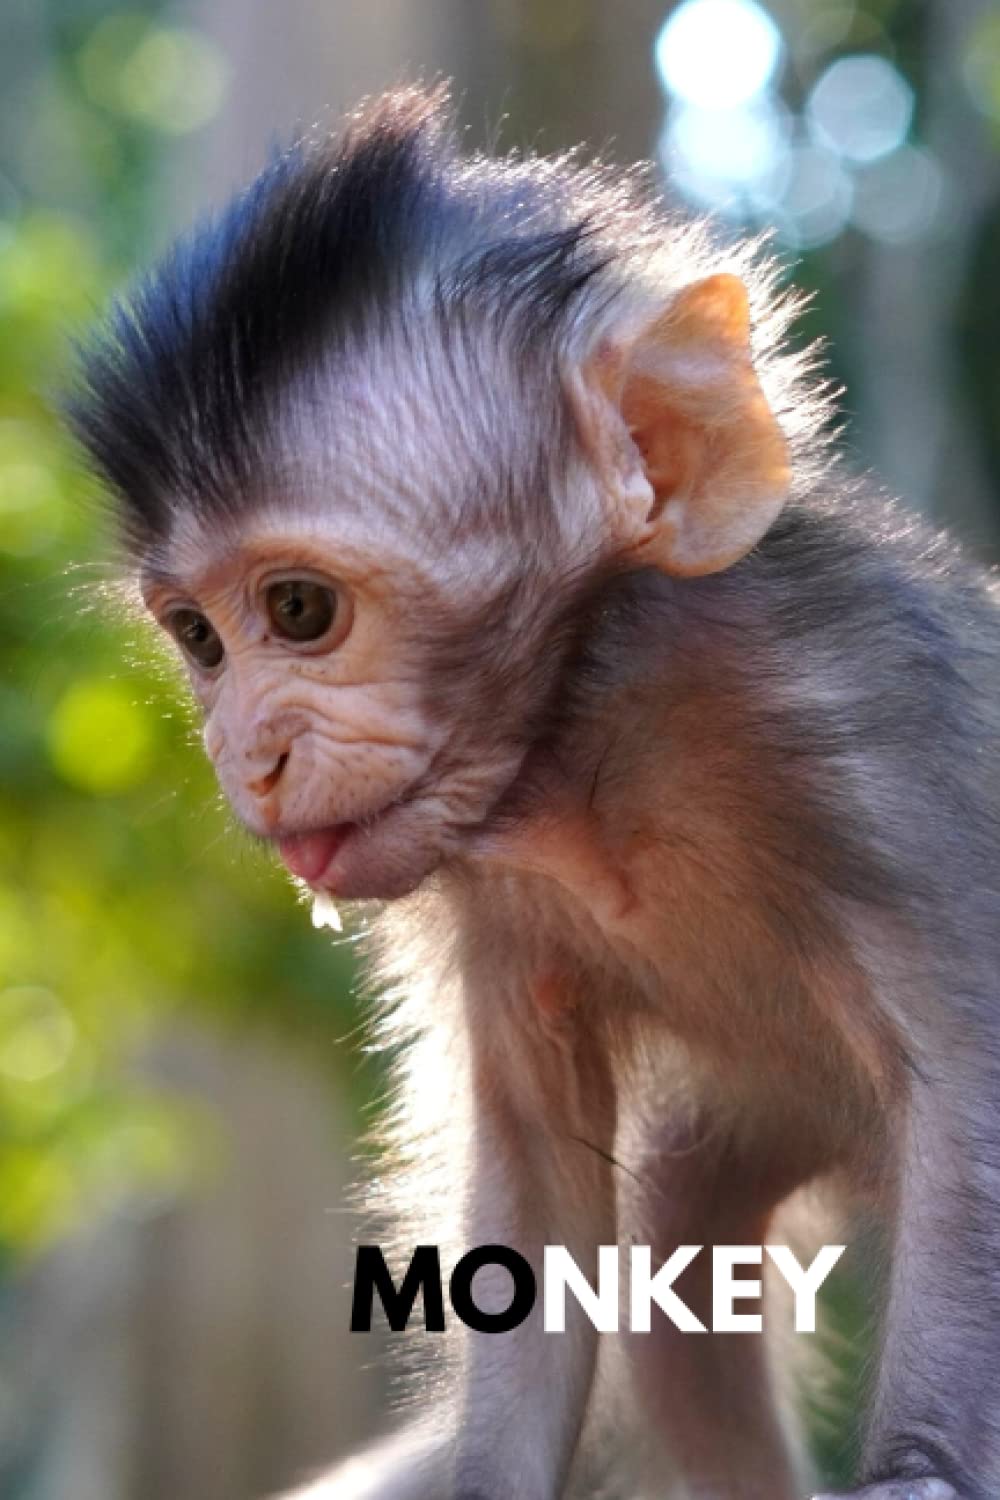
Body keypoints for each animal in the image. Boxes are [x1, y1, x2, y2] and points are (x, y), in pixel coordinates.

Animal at [66, 85, 1000, 1500]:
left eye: (299, 611)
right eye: (199, 640)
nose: (243, 755)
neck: (591, 745)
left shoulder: (870, 728)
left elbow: (969, 1095)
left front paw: (923, 1471)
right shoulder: (488, 897)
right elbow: (540, 1198)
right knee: (678, 1242)